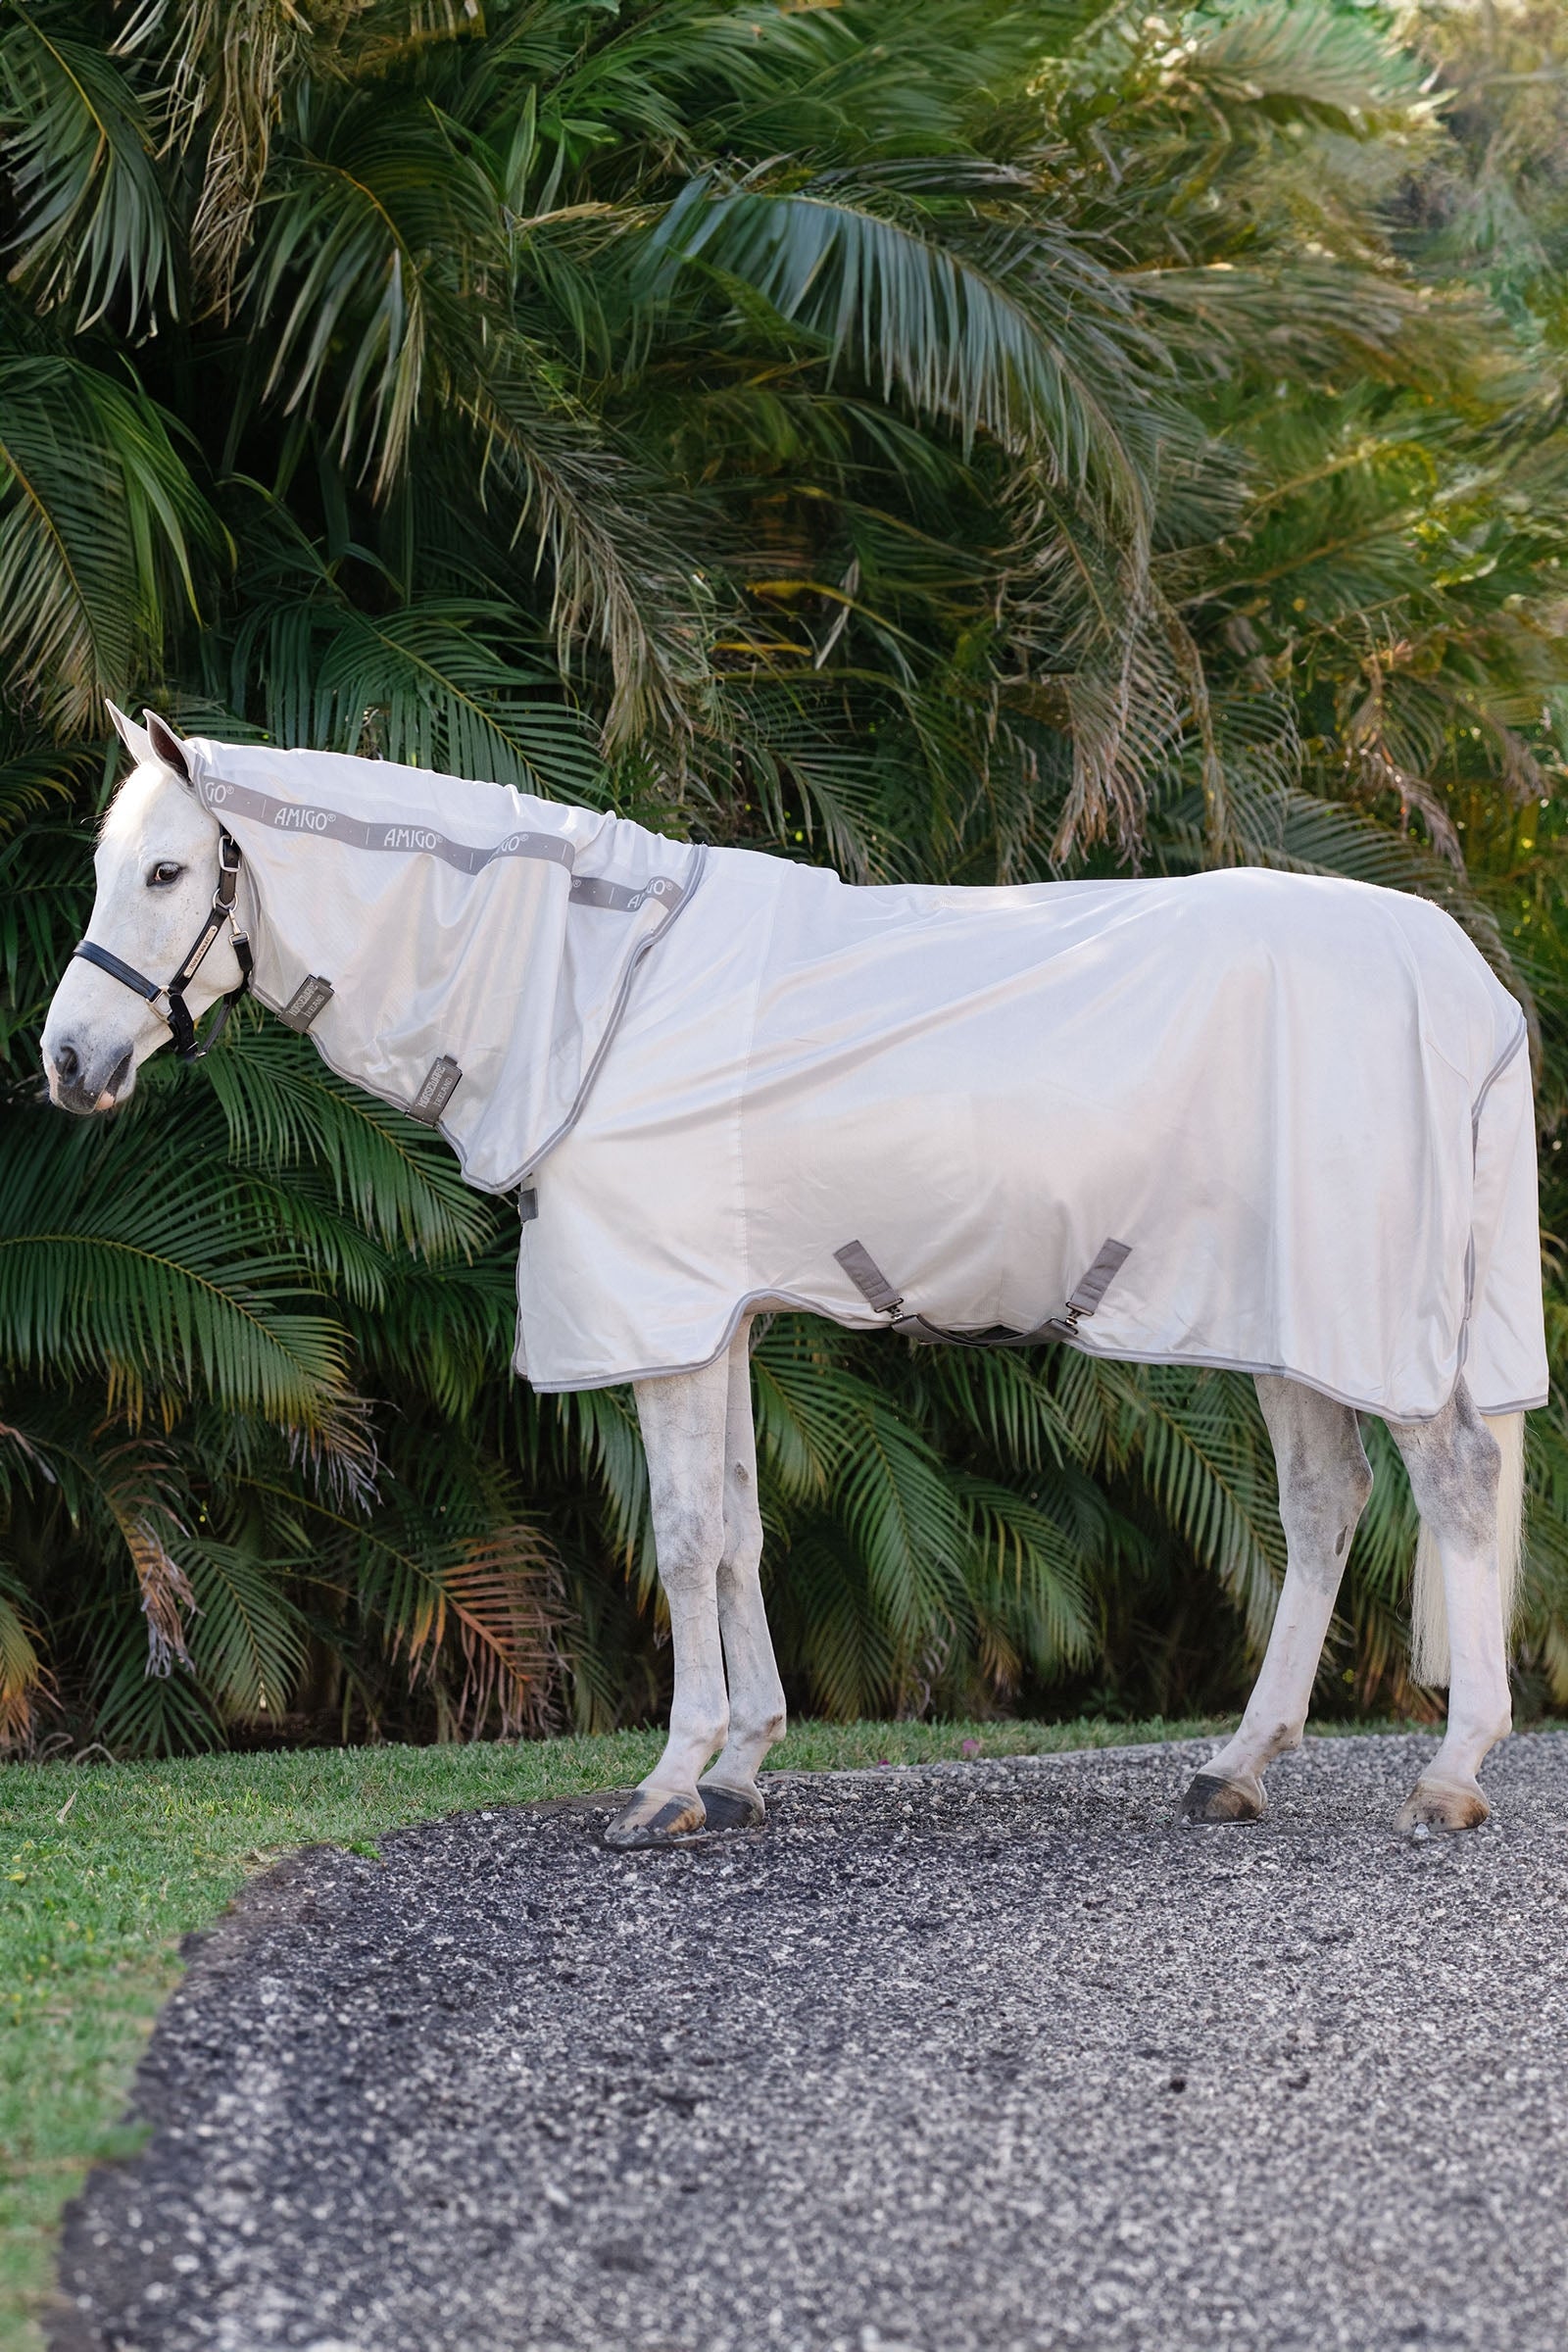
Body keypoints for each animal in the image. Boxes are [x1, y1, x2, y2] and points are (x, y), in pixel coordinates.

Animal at [41, 707, 1543, 1845]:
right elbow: (742, 1530)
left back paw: (1452, 1774)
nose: (65, 1061)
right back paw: (1237, 1767)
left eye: (167, 874)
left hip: (1368, 1314)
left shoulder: (659, 1321)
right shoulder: (723, 1321)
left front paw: (669, 1782)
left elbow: (683, 1537)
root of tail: (1467, 983)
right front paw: (746, 1764)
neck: (597, 990)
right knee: (1328, 1506)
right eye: (109, 866)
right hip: (1292, 1319)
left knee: (1454, 1483)